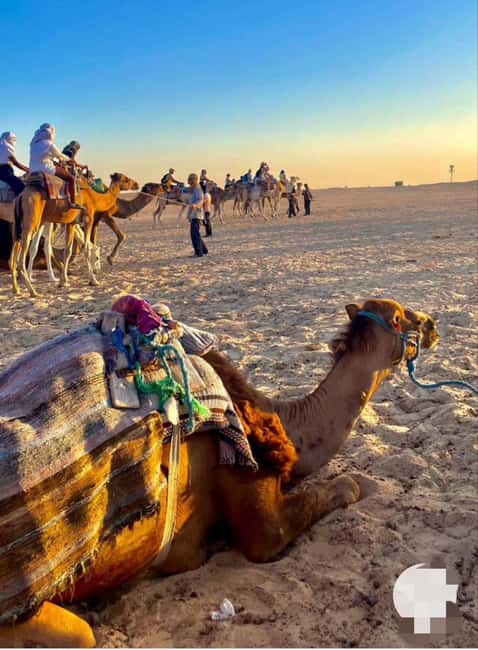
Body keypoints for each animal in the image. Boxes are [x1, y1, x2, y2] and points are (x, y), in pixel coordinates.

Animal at [0, 298, 438, 647]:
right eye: (401, 316)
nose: (433, 323)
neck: (280, 419)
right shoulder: (249, 490)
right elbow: (327, 498)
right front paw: (361, 484)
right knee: (82, 634)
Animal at [10, 172, 138, 297]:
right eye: (126, 179)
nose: (136, 184)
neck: (94, 197)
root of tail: (21, 196)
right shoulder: (88, 219)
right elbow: (86, 249)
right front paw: (93, 280)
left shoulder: (71, 223)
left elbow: (68, 251)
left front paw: (63, 282)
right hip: (31, 221)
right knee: (22, 258)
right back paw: (32, 291)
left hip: (20, 224)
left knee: (16, 249)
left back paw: (17, 289)